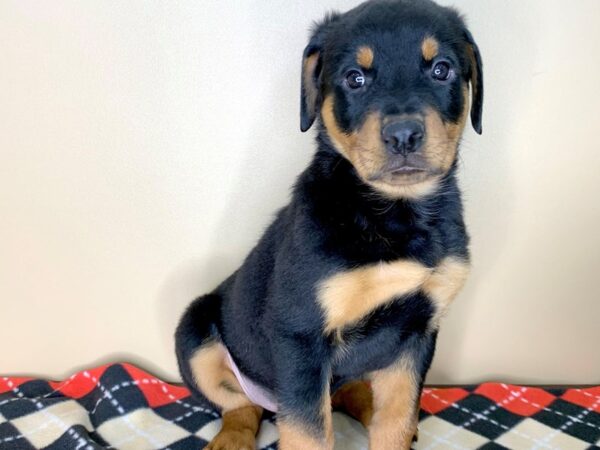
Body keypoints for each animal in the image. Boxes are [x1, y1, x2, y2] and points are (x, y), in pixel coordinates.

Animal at [175, 0, 482, 450]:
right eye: (354, 78)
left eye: (441, 69)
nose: (403, 135)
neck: (392, 214)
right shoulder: (301, 335)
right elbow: (310, 433)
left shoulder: (417, 333)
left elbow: (396, 418)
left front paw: (395, 430)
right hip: (195, 335)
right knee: (240, 406)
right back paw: (231, 439)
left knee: (350, 391)